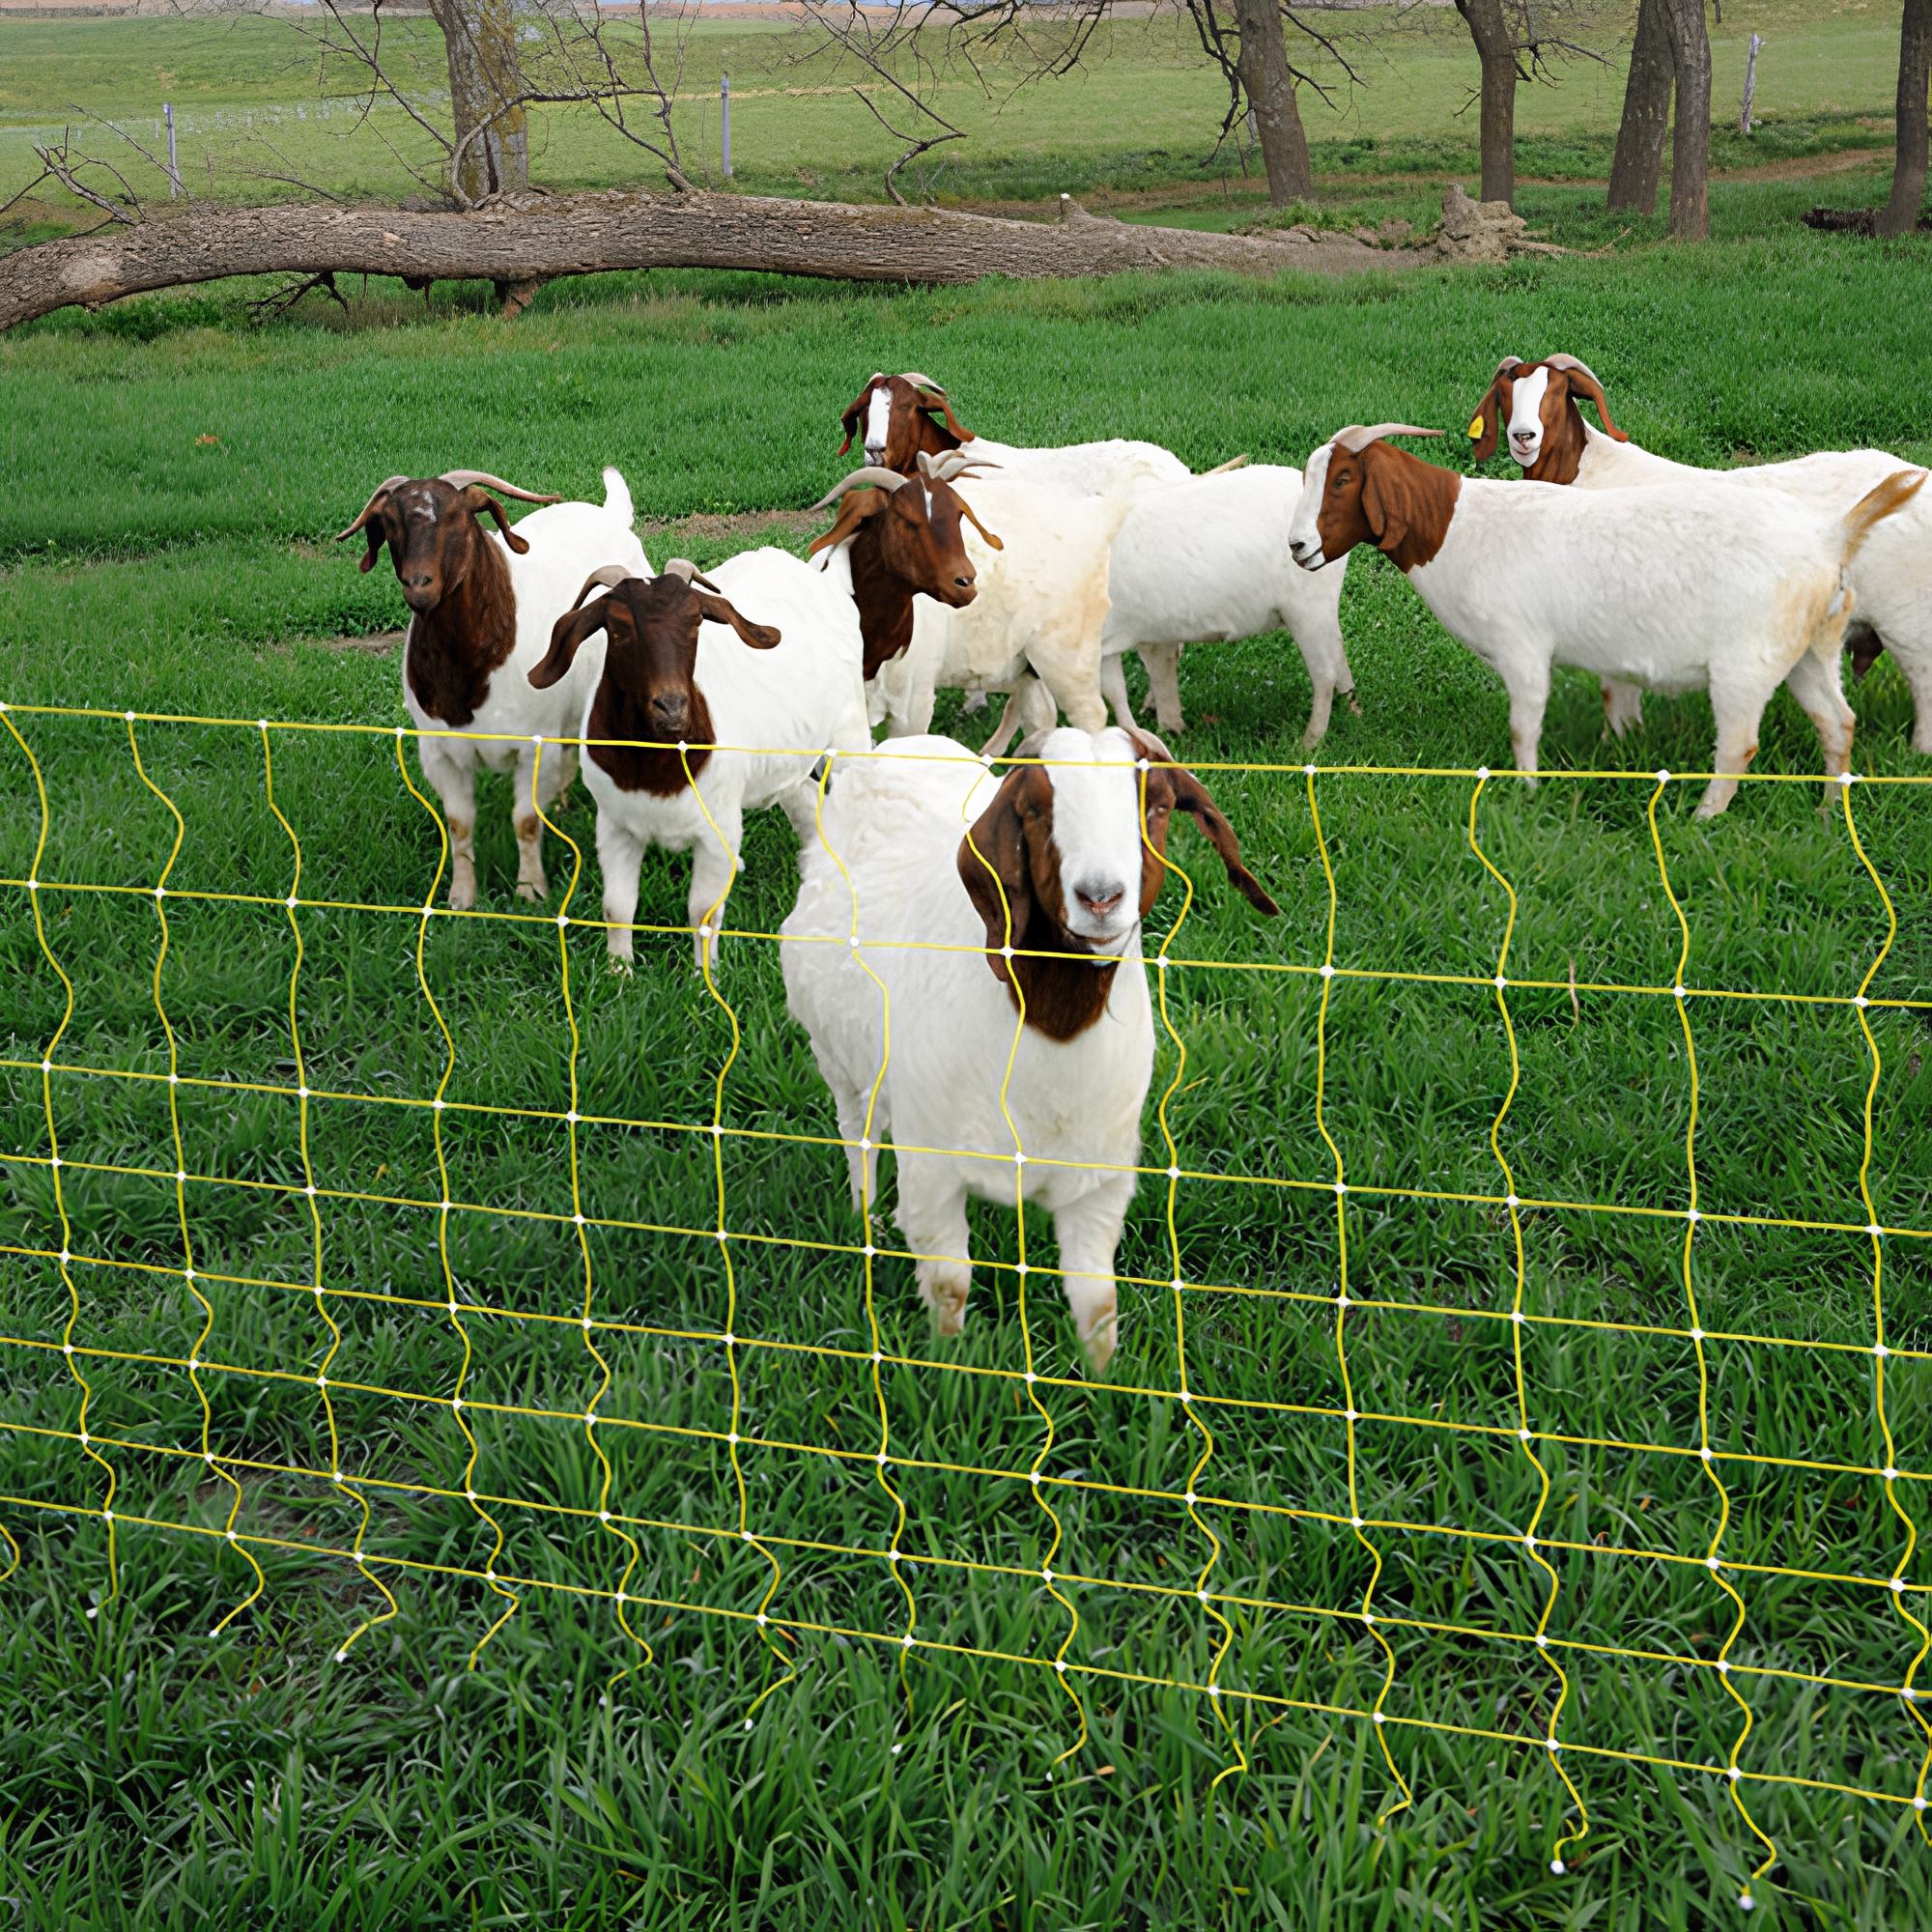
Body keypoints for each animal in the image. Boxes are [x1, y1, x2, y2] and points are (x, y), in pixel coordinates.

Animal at [339, 466, 647, 910]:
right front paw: (461, 898)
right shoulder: (439, 752)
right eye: (390, 522)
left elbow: (526, 821)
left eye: (458, 517)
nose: (419, 584)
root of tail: (610, 514)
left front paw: (531, 891)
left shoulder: (535, 747)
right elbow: (459, 824)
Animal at [529, 556, 872, 970]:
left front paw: (705, 976)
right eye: (618, 626)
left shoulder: (717, 831)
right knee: (805, 803)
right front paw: (619, 971)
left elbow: (703, 912)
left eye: (695, 620)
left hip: (851, 732)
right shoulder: (614, 825)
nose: (672, 706)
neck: (654, 769)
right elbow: (617, 907)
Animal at [780, 726, 1279, 1373]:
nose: (1100, 897)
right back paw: (867, 1217)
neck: (1051, 1032)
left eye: (1158, 806)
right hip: (838, 1058)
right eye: (1036, 810)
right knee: (857, 1133)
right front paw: (949, 1366)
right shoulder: (934, 1170)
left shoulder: (1101, 1179)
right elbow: (950, 1286)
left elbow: (1097, 1302)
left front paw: (1101, 1383)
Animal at [1287, 425, 1926, 816]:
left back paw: (1702, 818)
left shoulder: (1523, 649)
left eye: (1343, 479)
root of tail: (1830, 536)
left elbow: (1523, 728)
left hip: (1746, 663)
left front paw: (1527, 793)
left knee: (1740, 744)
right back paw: (1827, 809)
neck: (1462, 527)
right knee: (1838, 723)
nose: (1297, 547)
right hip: (1809, 652)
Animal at [1470, 354, 1932, 753]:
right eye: (1506, 391)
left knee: (1924, 682)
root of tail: (1920, 480)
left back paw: (1917, 754)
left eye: (1557, 389)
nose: (1523, 436)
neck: (1586, 471)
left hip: (1905, 615)